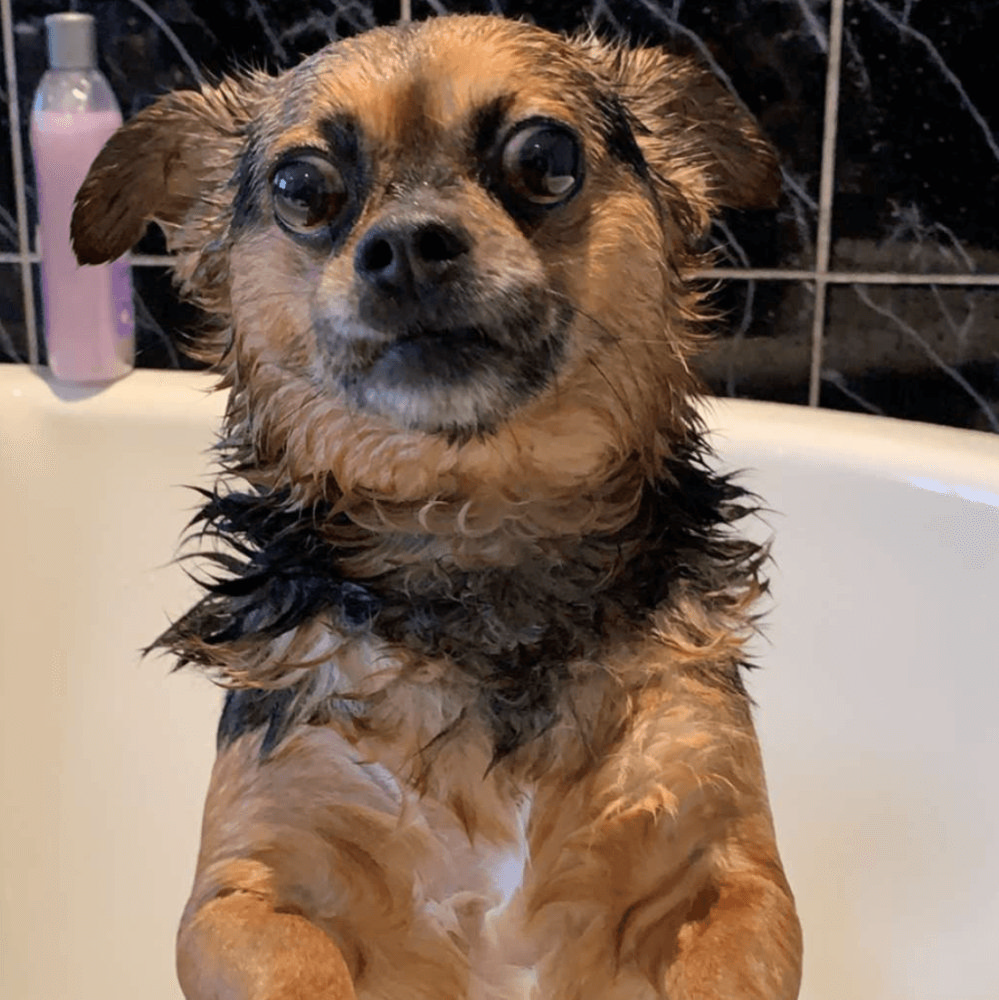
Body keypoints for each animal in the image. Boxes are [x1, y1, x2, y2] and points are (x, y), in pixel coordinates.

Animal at [72, 11, 804, 996]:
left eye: (545, 157)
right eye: (300, 187)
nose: (409, 246)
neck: (477, 536)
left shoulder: (733, 879)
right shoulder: (243, 895)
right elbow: (293, 964)